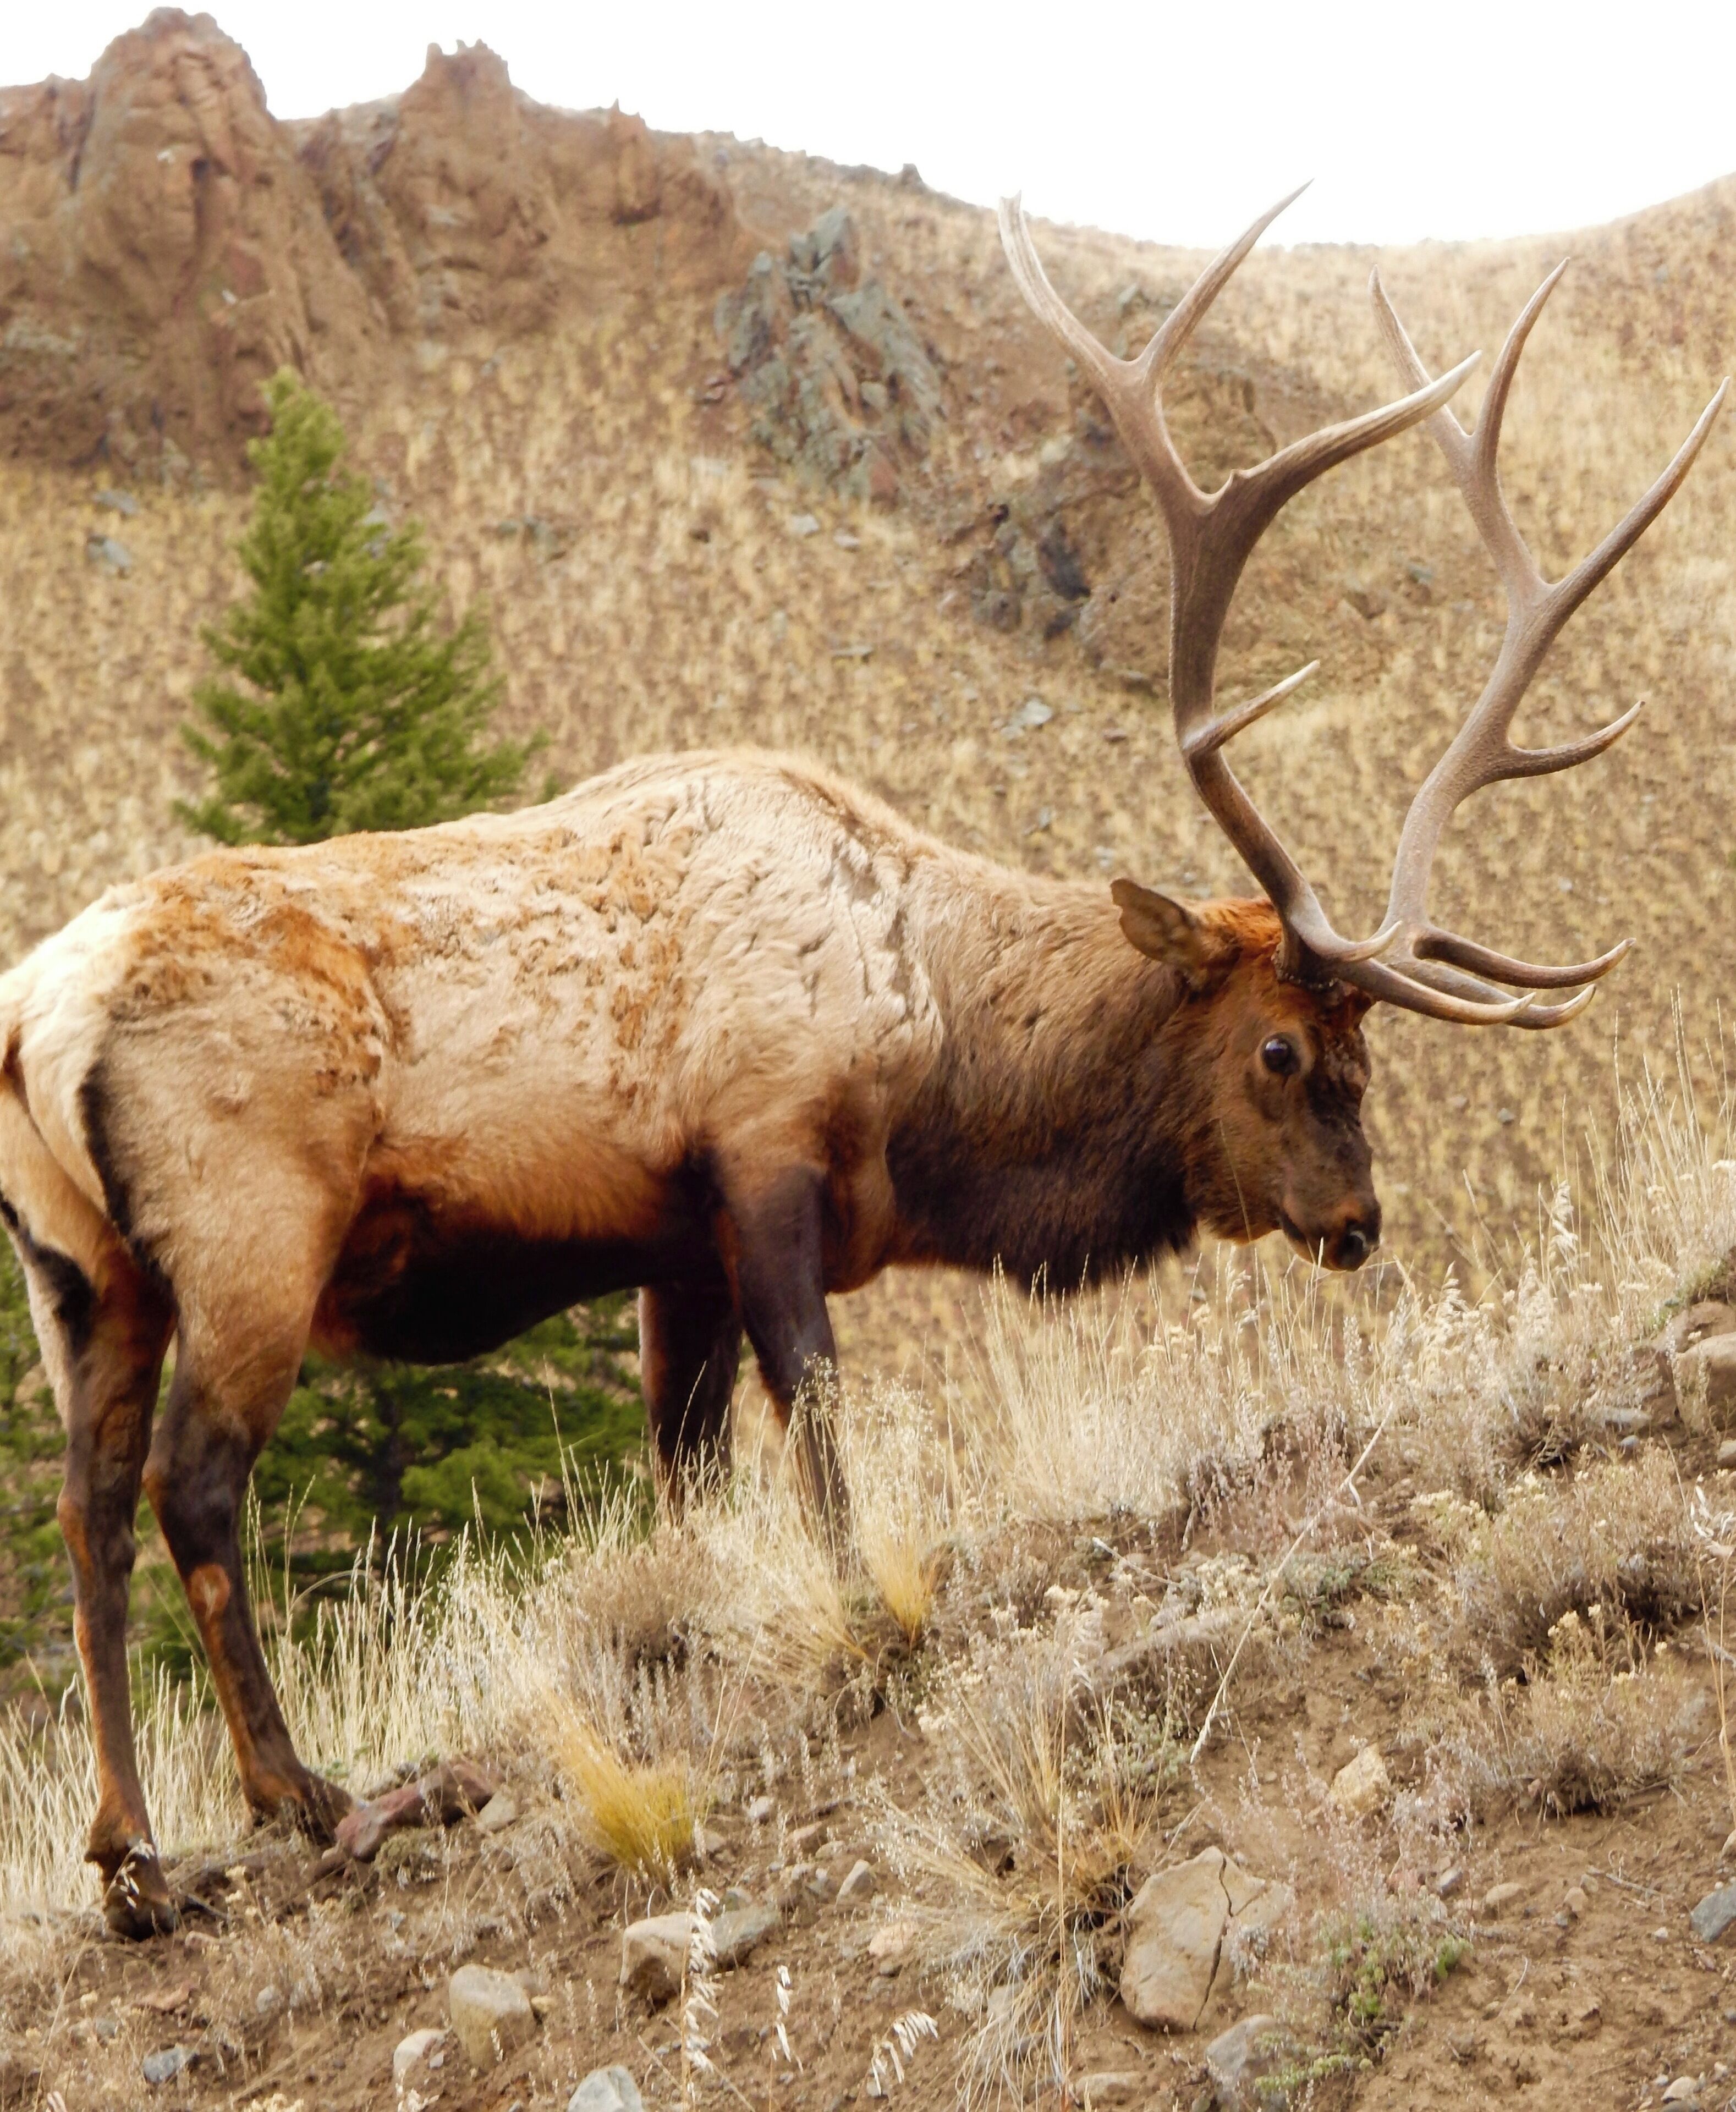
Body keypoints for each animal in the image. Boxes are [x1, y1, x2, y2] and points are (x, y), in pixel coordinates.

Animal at [0, 189, 1721, 1937]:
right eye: (1279, 1045)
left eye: (1365, 1043)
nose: (1357, 1220)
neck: (933, 1061)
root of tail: (32, 1016)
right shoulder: (760, 1161)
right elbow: (822, 1439)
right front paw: (861, 1621)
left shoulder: (667, 1247)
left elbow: (685, 1484)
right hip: (250, 1238)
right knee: (192, 1487)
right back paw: (309, 1798)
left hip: (82, 1278)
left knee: (84, 1505)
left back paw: (131, 1851)